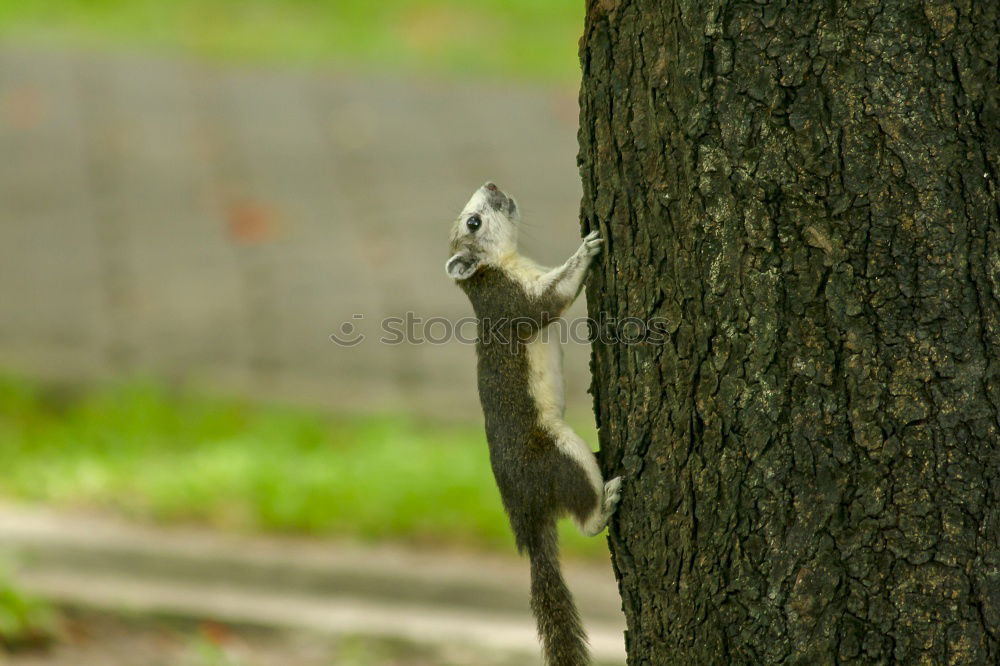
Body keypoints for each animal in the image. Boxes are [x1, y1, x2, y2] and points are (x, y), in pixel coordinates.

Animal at [444, 182, 616, 664]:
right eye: (473, 222)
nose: (492, 185)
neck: (501, 268)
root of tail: (526, 514)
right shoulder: (516, 300)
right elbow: (552, 299)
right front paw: (586, 249)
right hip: (559, 455)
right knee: (585, 516)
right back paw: (606, 503)